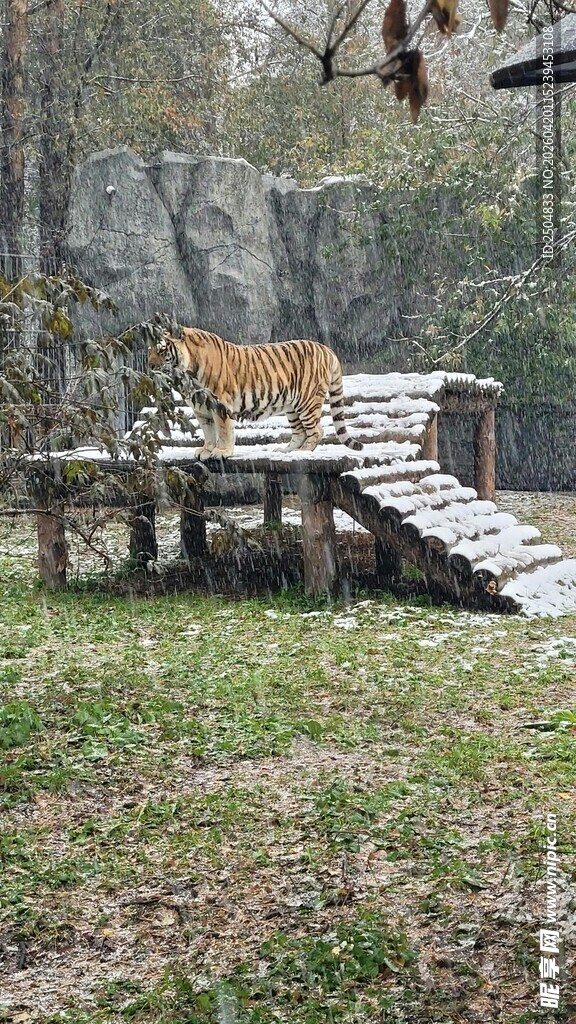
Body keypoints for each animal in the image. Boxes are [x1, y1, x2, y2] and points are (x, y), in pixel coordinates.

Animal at [148, 327, 363, 460]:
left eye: (161, 351)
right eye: (149, 349)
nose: (149, 366)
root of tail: (326, 349)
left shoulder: (220, 402)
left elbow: (223, 430)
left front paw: (222, 452)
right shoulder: (201, 408)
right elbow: (208, 431)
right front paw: (206, 450)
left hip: (306, 401)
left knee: (317, 430)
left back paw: (302, 453)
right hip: (292, 406)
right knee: (300, 432)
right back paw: (286, 451)